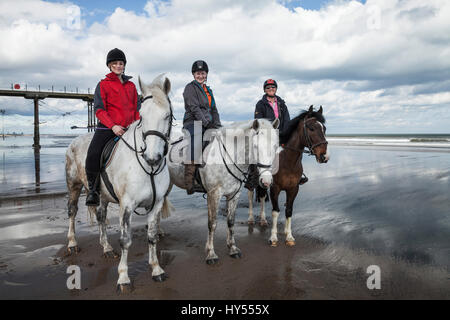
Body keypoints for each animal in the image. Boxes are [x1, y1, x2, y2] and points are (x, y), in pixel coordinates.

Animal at [248, 104, 328, 245]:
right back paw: (251, 218)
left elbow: (289, 210)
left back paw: (263, 220)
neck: (287, 161)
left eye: (324, 129)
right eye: (311, 128)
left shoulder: (293, 189)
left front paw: (289, 236)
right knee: (251, 195)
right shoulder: (275, 188)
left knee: (262, 197)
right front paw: (273, 238)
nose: (324, 156)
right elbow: (275, 211)